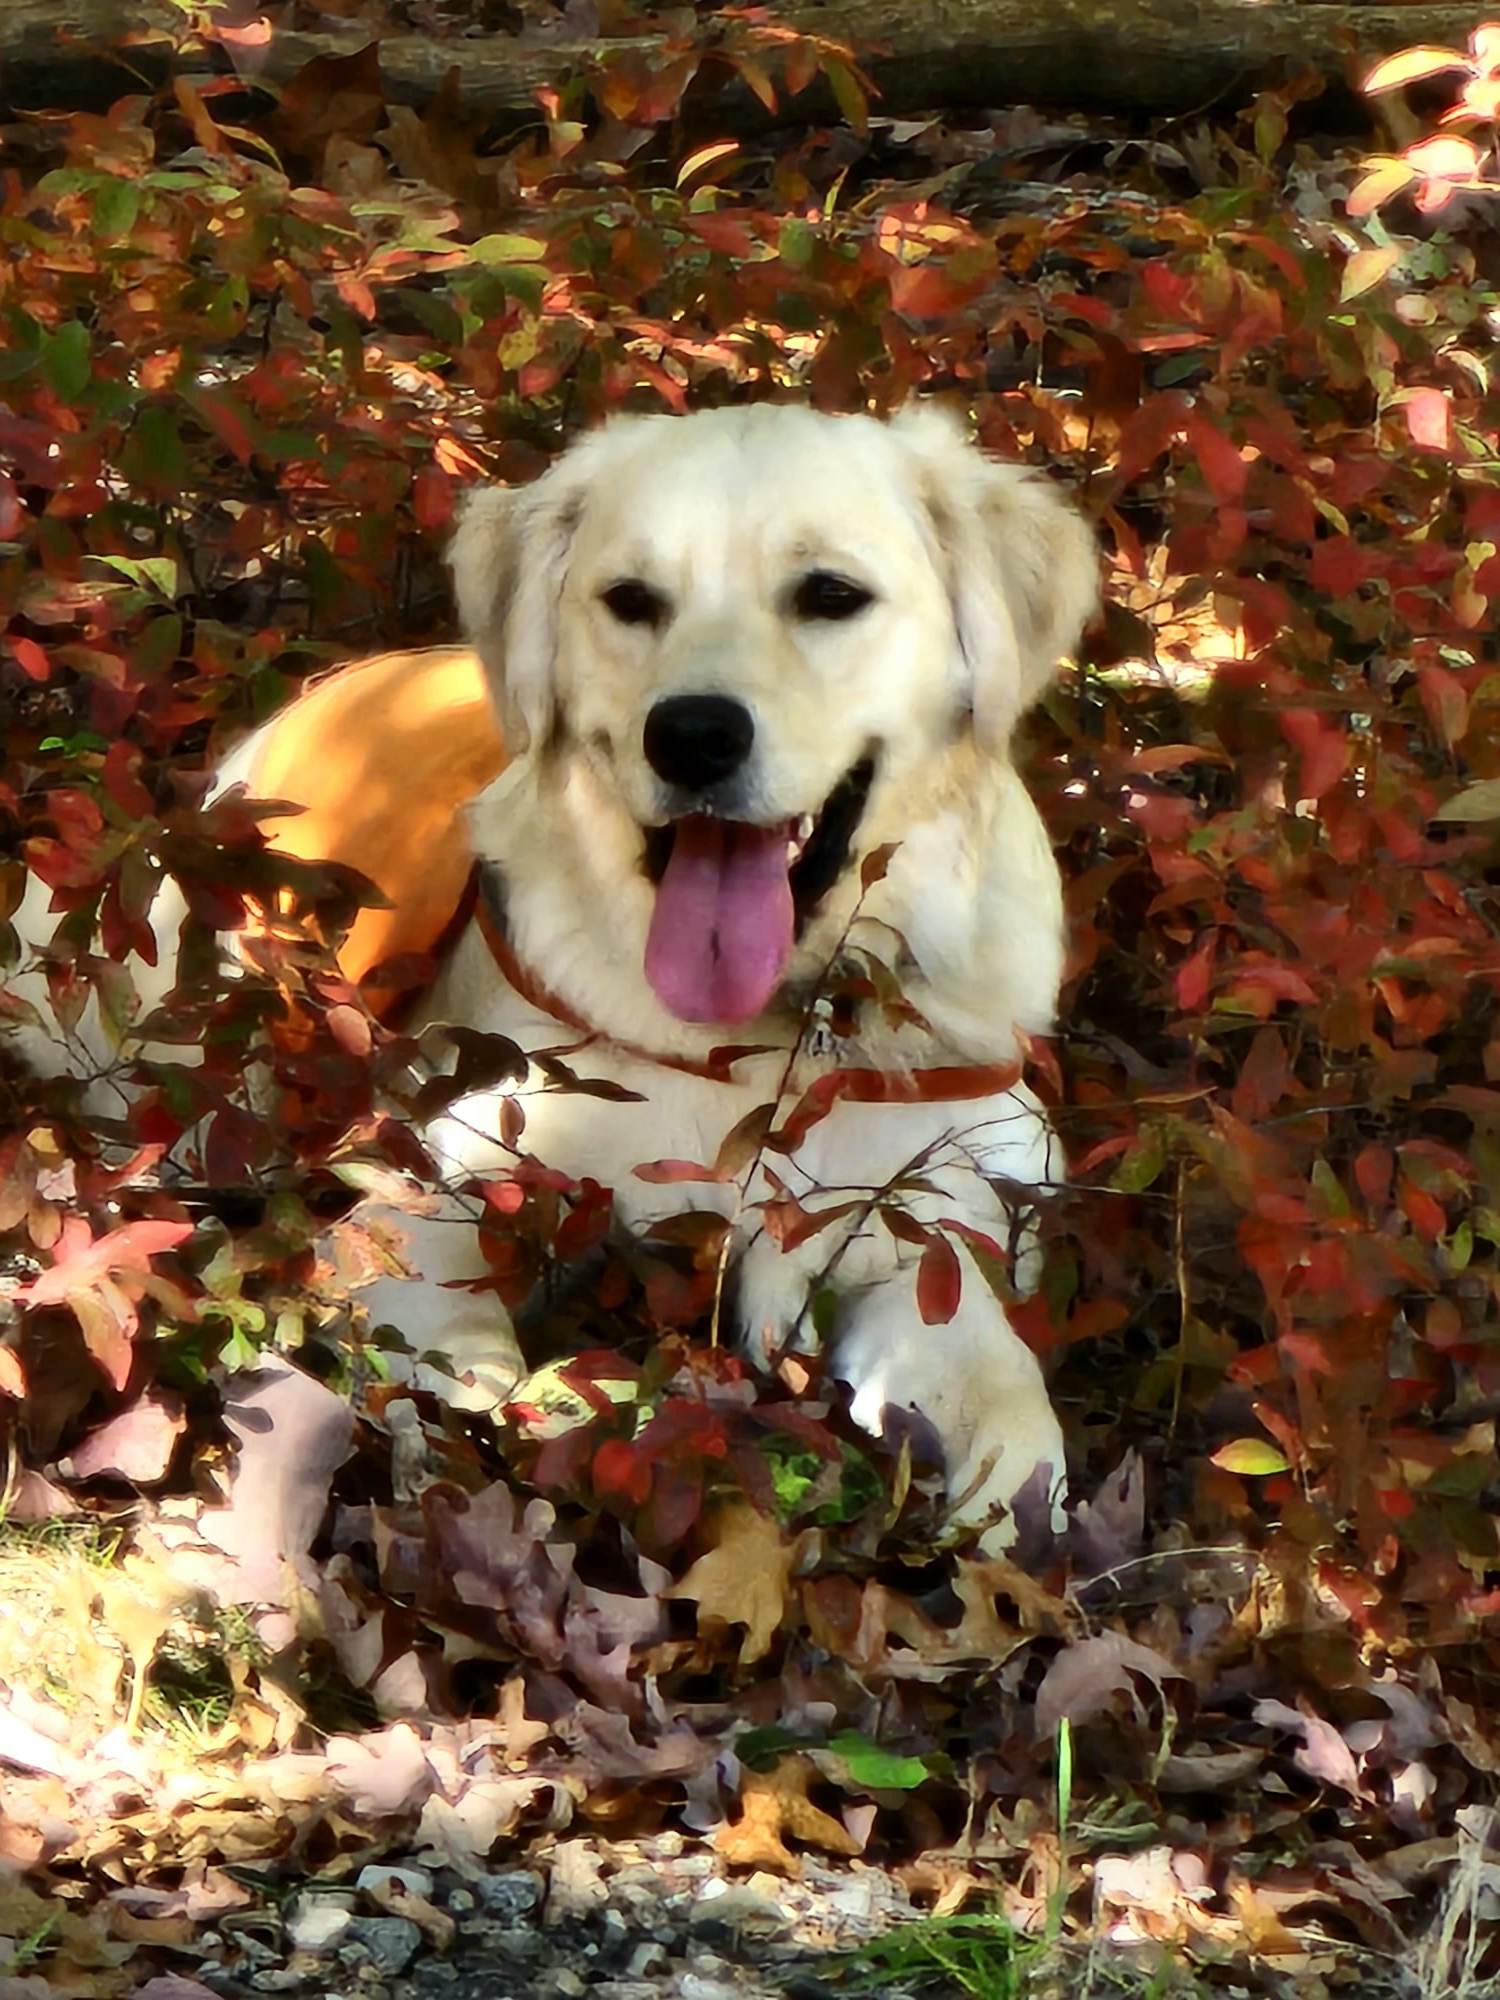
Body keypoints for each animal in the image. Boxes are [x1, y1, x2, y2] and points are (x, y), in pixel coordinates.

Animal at [8, 398, 1104, 1536]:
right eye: (631, 600)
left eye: (831, 595)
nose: (693, 736)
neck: (758, 1040)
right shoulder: (465, 1157)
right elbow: (459, 1329)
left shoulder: (933, 1215)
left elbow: (1014, 1415)